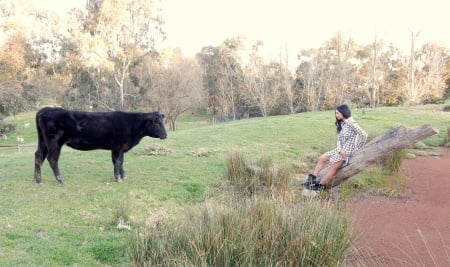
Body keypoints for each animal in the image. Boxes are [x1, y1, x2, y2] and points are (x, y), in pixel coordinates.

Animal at [33, 107, 167, 184]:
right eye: (157, 123)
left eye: (162, 121)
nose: (165, 135)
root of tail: (46, 109)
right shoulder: (118, 146)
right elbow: (117, 162)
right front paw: (118, 178)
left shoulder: (119, 148)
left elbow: (120, 162)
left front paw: (122, 176)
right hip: (55, 143)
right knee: (52, 159)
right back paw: (61, 180)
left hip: (43, 142)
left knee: (38, 156)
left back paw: (38, 180)